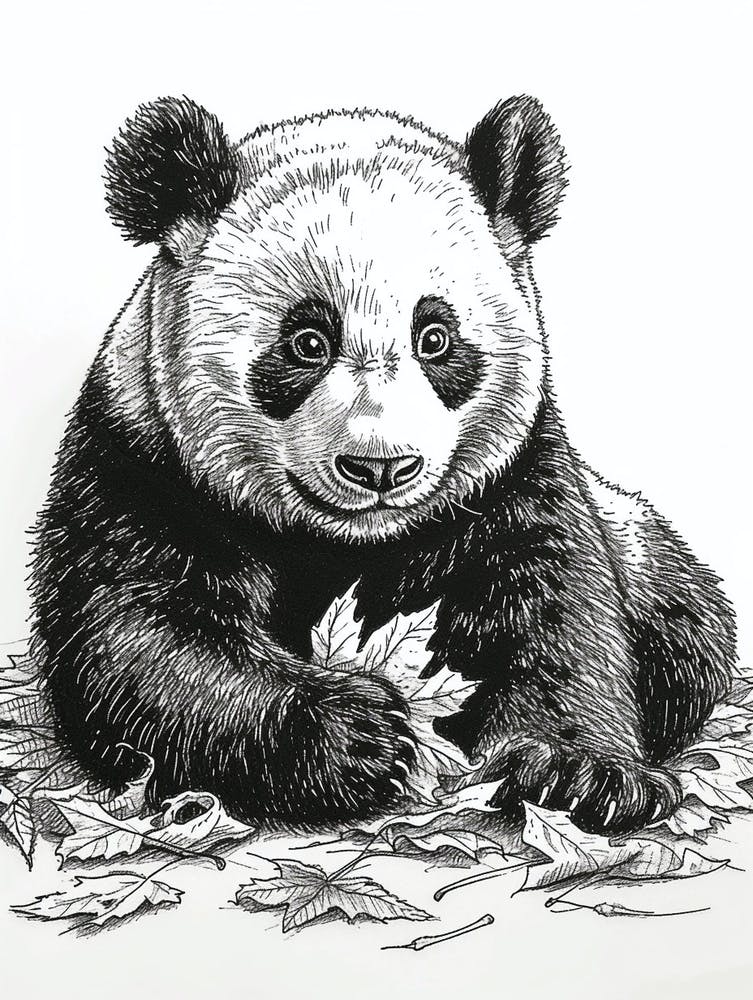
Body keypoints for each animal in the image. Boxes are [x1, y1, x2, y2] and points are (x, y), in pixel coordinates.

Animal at [31, 95, 736, 836]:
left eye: (436, 337)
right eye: (307, 341)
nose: (379, 467)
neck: (348, 547)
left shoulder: (517, 477)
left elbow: (554, 614)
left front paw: (581, 772)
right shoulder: (140, 468)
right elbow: (146, 635)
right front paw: (356, 736)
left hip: (645, 551)